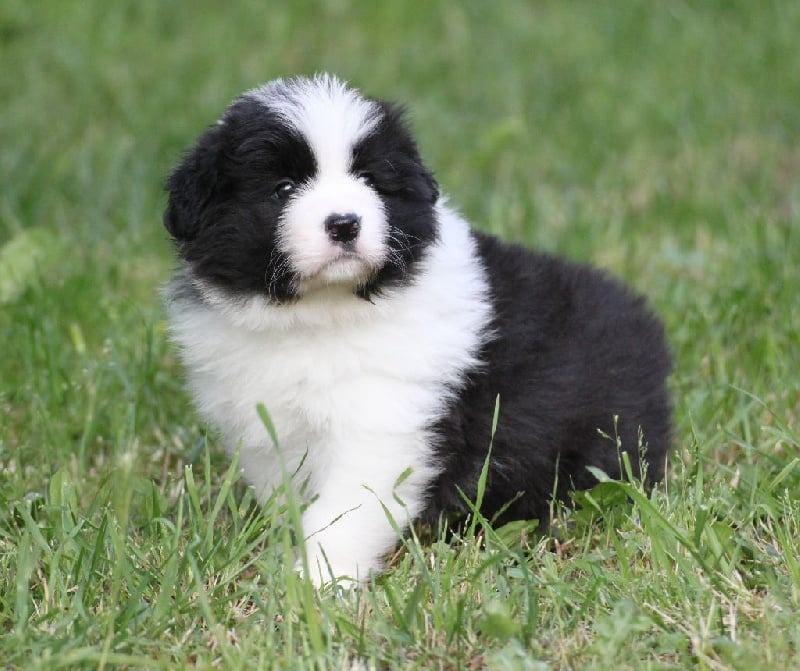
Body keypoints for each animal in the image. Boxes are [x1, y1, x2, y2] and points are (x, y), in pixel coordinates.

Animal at [161, 75, 668, 588]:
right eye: (282, 188)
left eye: (369, 180)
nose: (344, 223)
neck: (321, 314)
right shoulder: (268, 429)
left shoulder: (386, 422)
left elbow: (344, 511)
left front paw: (319, 583)